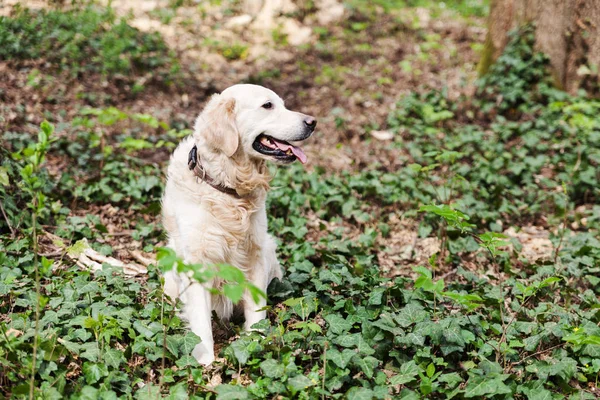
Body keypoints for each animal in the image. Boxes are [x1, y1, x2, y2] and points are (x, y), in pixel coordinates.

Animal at [162, 84, 316, 366]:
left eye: (283, 104)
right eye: (268, 105)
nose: (312, 122)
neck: (228, 188)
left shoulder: (255, 253)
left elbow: (257, 312)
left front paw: (255, 343)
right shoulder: (196, 263)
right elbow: (201, 324)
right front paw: (206, 363)